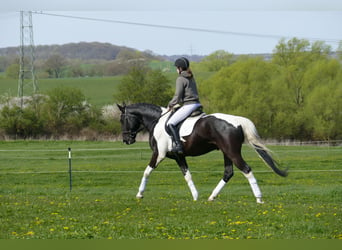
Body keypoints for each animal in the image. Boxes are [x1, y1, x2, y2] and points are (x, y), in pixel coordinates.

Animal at [116, 103, 288, 203]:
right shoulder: (179, 156)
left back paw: (259, 198)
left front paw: (139, 194)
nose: (126, 140)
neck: (157, 121)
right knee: (228, 172)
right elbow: (187, 175)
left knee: (246, 169)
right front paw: (196, 196)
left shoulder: (159, 154)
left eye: (122, 119)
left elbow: (147, 172)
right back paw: (212, 197)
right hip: (226, 153)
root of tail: (238, 122)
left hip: (232, 152)